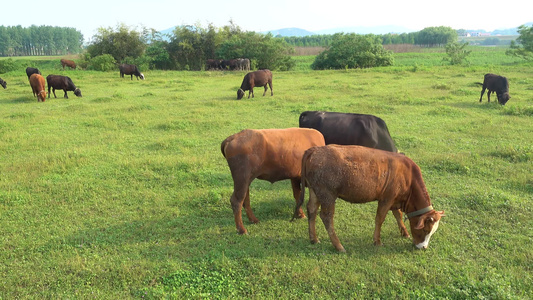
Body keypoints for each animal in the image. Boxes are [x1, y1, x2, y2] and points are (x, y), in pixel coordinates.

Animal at [296, 144, 444, 252]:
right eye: (425, 230)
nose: (423, 247)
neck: (408, 177)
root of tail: (315, 149)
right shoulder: (386, 198)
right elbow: (380, 219)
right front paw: (377, 241)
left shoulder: (395, 200)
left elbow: (398, 215)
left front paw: (404, 232)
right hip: (327, 194)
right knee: (326, 217)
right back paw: (339, 246)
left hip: (315, 191)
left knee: (312, 210)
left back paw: (314, 239)